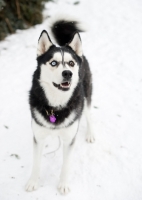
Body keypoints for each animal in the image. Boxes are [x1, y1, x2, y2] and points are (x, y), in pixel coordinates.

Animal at [25, 17, 95, 195]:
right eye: (54, 63)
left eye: (70, 63)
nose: (67, 73)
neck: (55, 107)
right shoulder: (38, 137)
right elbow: (36, 163)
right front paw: (33, 182)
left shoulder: (69, 139)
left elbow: (66, 165)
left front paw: (63, 184)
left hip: (87, 98)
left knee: (89, 116)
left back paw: (90, 134)